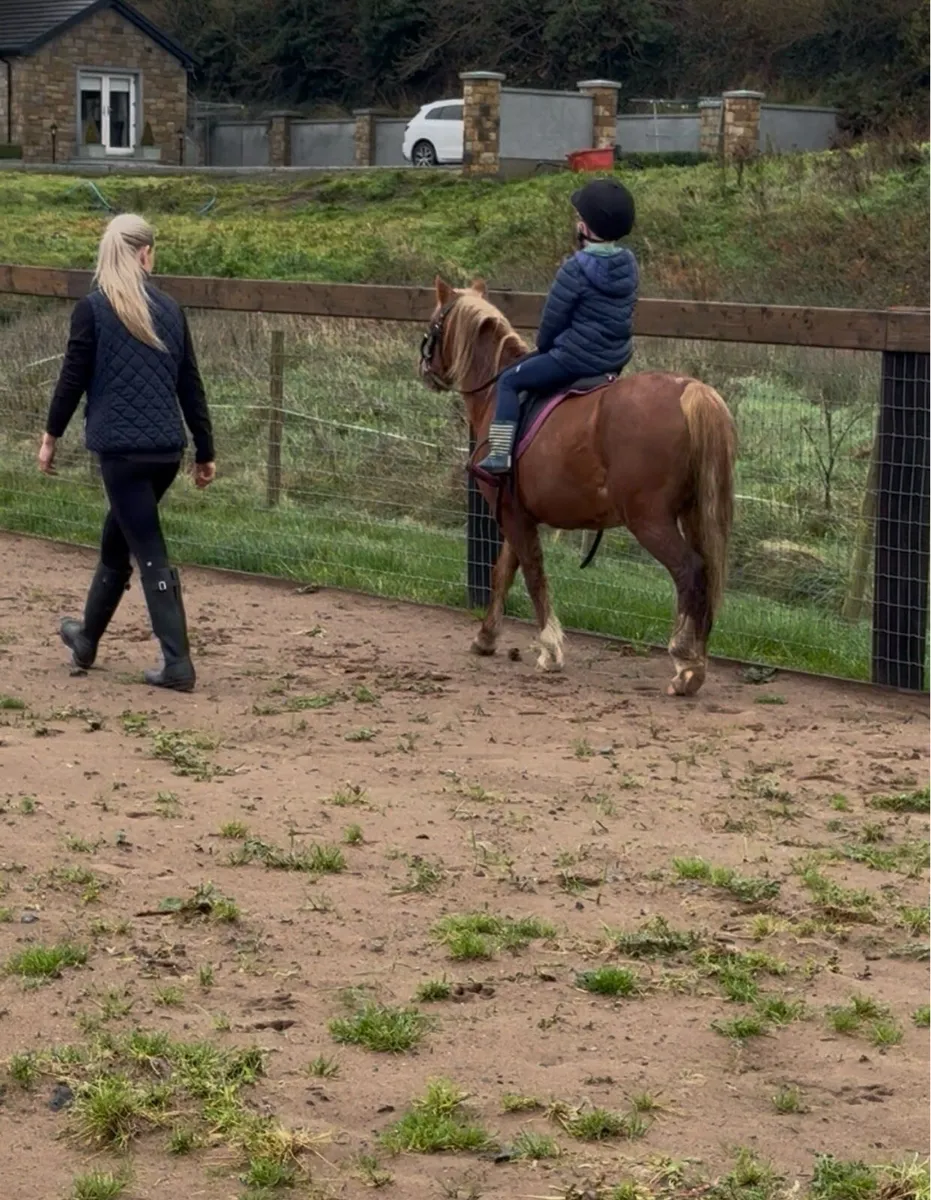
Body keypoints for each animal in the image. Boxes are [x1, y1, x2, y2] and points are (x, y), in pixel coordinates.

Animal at [419, 276, 737, 697]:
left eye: (435, 322)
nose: (424, 368)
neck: (496, 389)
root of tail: (691, 389)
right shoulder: (516, 511)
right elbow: (504, 572)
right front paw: (486, 637)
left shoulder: (510, 513)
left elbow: (533, 574)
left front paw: (550, 651)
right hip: (694, 512)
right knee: (706, 574)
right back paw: (695, 657)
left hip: (650, 520)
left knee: (690, 571)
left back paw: (686, 665)